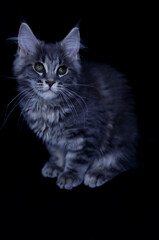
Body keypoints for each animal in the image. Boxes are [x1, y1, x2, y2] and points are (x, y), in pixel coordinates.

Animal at [12, 23, 138, 190]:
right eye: (39, 67)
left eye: (62, 70)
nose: (50, 82)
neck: (49, 108)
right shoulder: (51, 139)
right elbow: (57, 152)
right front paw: (56, 166)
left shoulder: (87, 134)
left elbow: (77, 158)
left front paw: (69, 176)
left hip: (119, 139)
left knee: (122, 161)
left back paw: (97, 173)